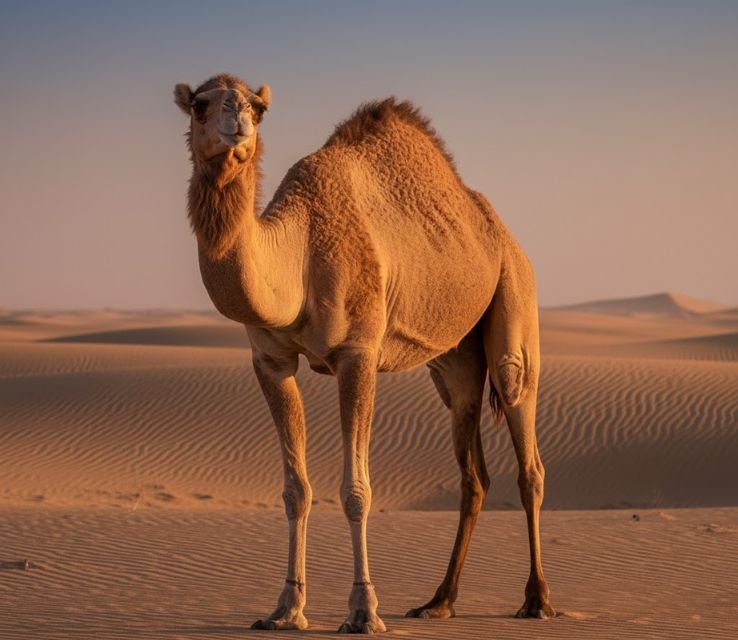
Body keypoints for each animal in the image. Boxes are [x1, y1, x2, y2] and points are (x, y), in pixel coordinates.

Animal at [173, 73, 554, 633]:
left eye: (258, 108)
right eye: (200, 105)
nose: (237, 125)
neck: (300, 253)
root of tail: (499, 231)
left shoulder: (358, 353)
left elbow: (357, 491)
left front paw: (363, 611)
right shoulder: (271, 362)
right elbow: (295, 490)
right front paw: (285, 609)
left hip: (516, 295)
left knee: (525, 442)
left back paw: (536, 599)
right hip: (455, 360)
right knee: (473, 470)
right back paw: (438, 600)